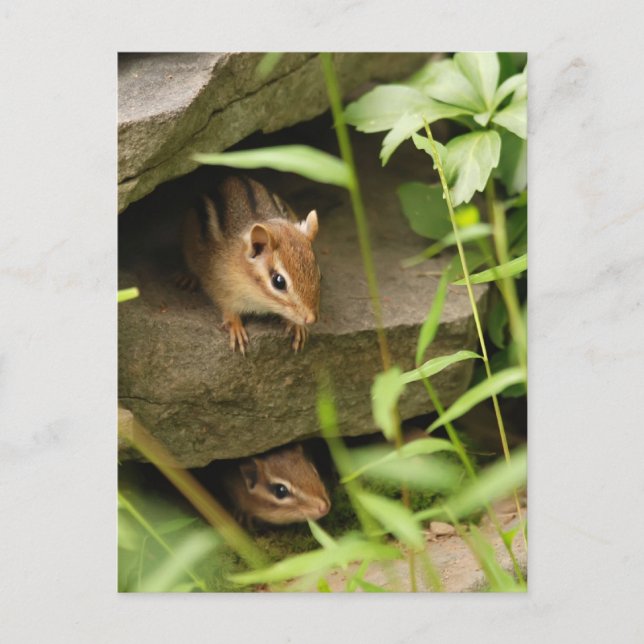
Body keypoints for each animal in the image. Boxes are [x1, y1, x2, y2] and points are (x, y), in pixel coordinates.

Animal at [180, 174, 320, 353]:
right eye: (278, 282)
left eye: (317, 272)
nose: (311, 319)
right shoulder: (219, 282)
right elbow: (226, 307)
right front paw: (235, 326)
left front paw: (297, 326)